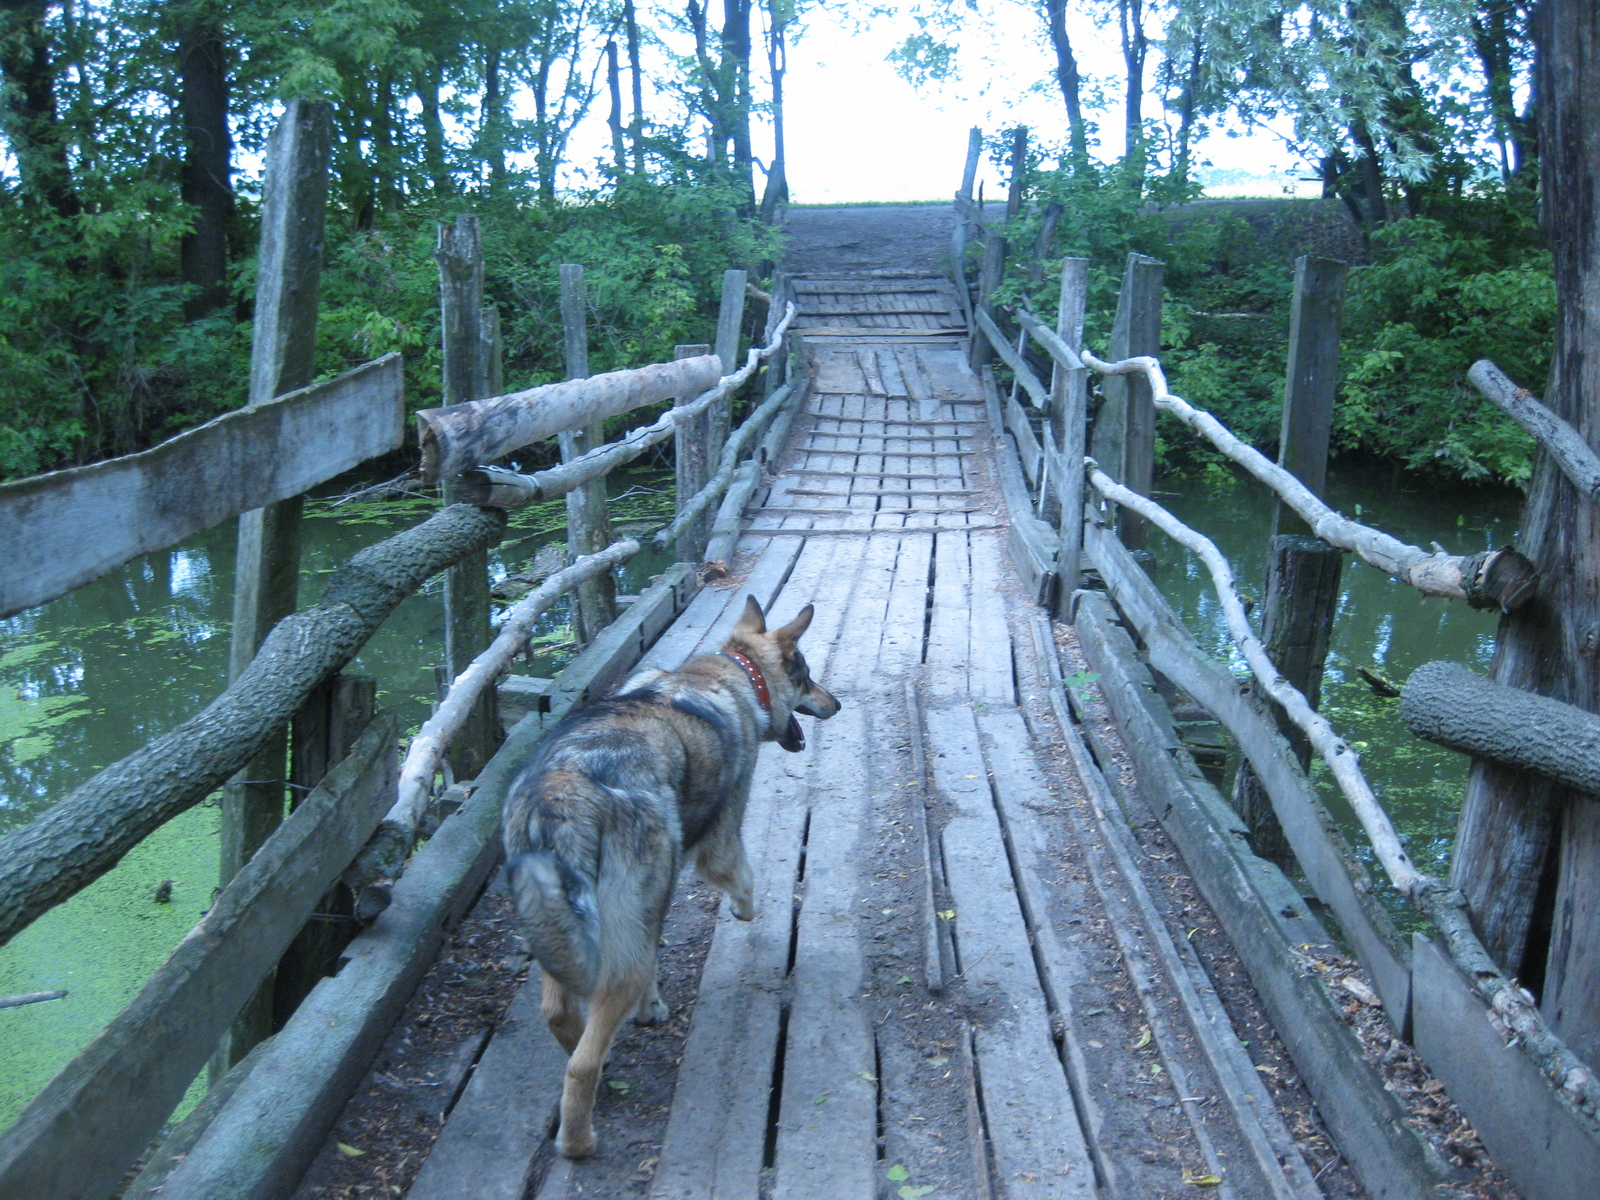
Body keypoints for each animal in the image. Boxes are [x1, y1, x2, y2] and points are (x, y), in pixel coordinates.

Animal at [505, 598, 844, 1158]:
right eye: (808, 676)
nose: (837, 704)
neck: (737, 676)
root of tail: (562, 789)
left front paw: (651, 1007)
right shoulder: (720, 845)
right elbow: (745, 884)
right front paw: (742, 912)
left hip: (560, 930)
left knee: (558, 1014)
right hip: (617, 948)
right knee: (581, 1063)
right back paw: (579, 1142)